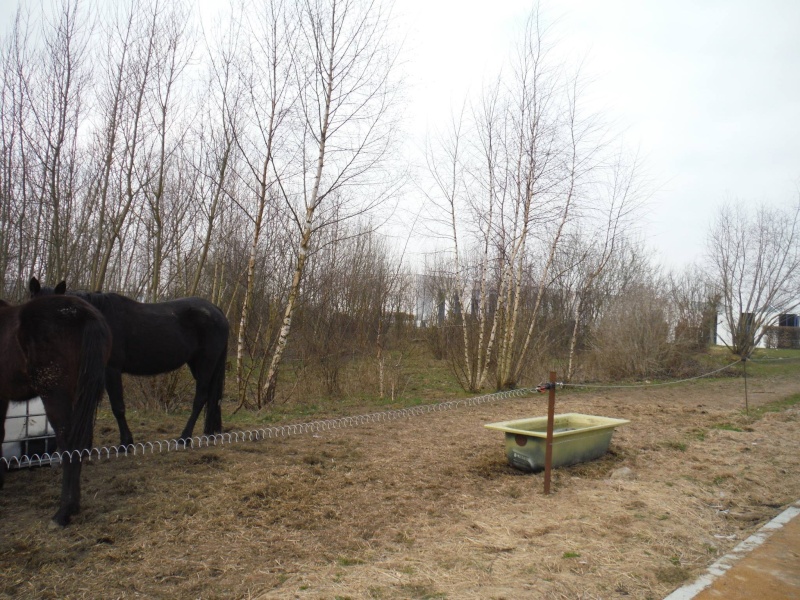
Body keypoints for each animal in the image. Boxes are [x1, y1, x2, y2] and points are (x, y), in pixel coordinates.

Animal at [30, 278, 230, 446]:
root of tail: (217, 310)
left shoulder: (111, 370)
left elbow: (117, 407)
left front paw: (126, 442)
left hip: (206, 363)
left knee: (201, 397)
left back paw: (184, 437)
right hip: (197, 364)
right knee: (211, 397)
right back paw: (209, 434)